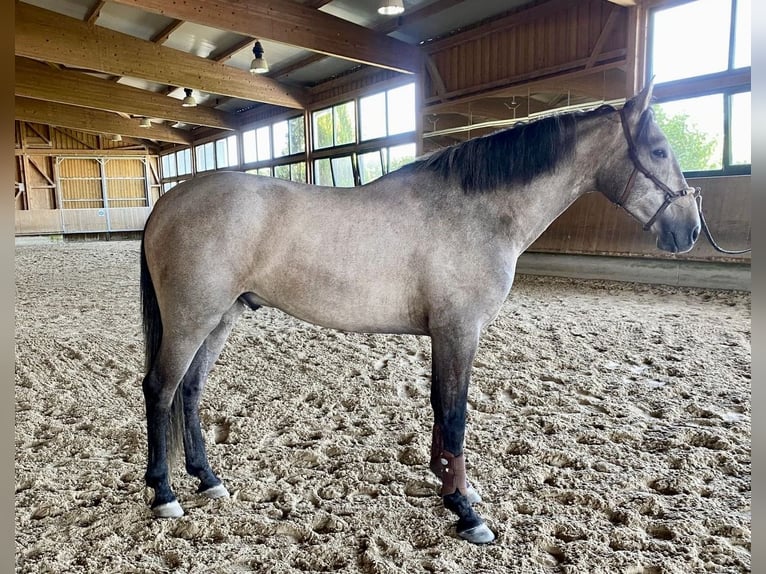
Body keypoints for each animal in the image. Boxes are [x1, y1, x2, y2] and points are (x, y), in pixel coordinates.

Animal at [139, 79, 701, 544]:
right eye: (658, 149)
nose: (690, 229)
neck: (476, 211)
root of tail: (168, 202)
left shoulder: (446, 335)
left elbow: (439, 410)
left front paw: (451, 487)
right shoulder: (459, 331)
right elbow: (454, 414)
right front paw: (467, 514)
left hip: (221, 317)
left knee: (190, 389)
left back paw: (208, 480)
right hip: (192, 318)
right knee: (161, 389)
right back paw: (164, 495)